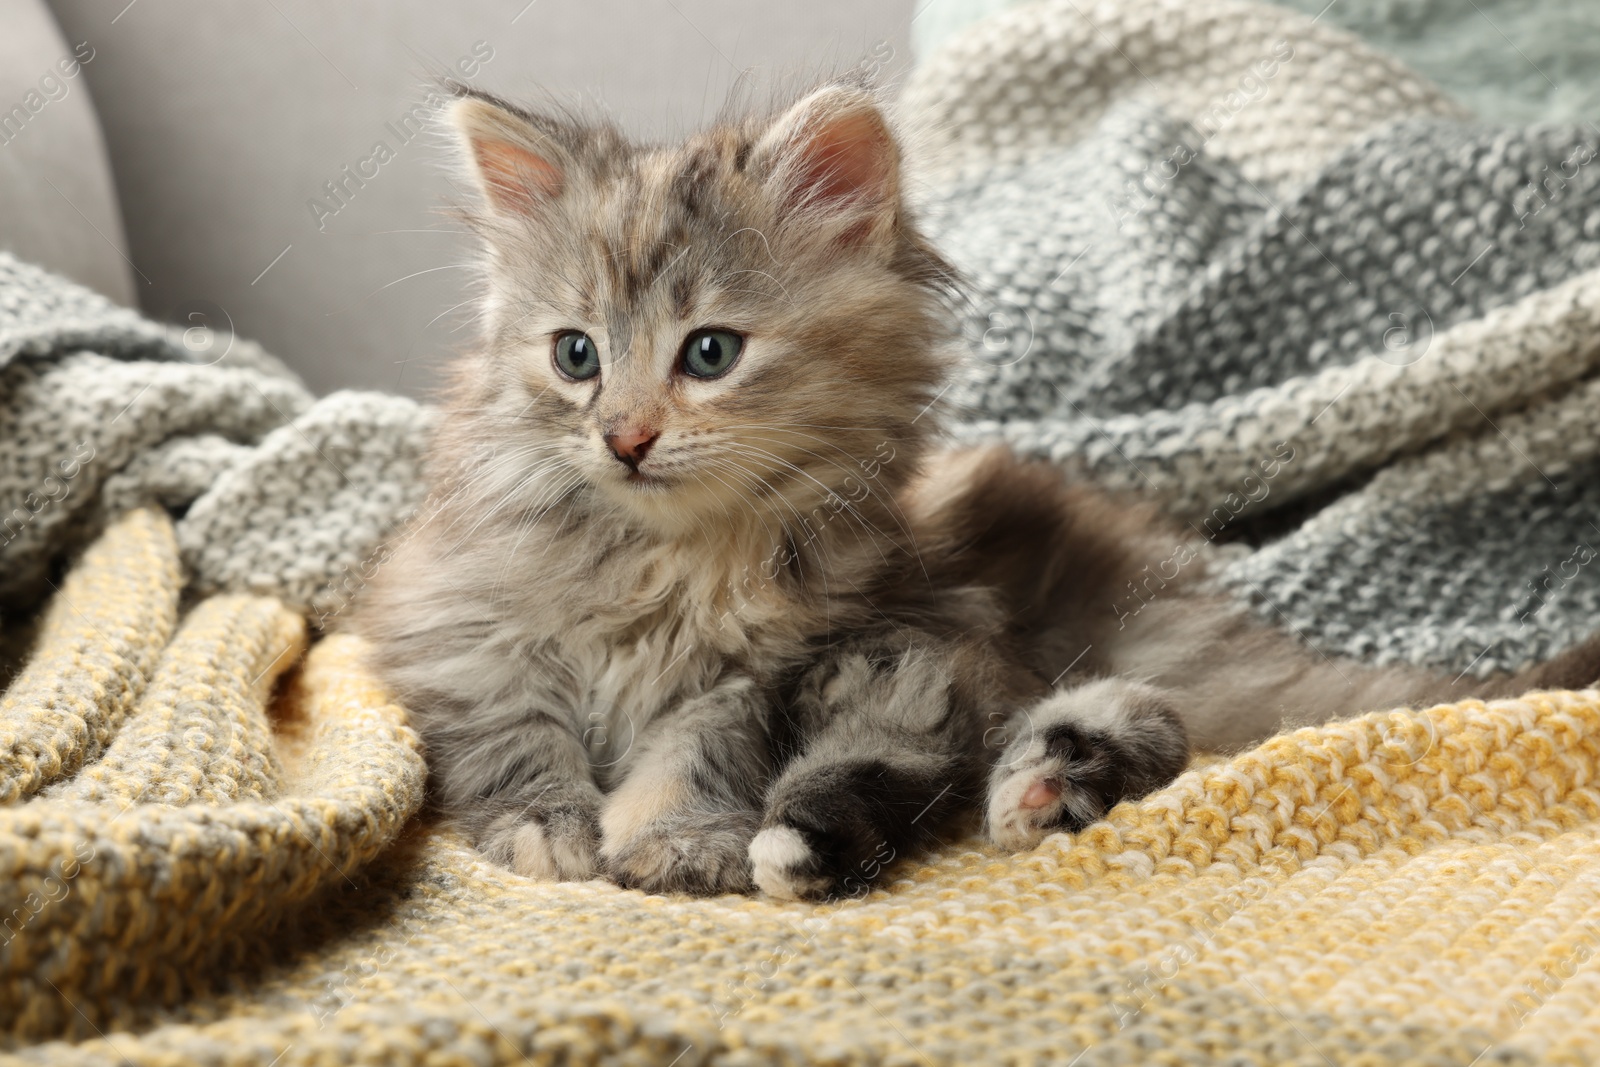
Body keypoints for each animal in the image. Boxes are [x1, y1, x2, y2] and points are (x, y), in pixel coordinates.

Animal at [353, 85, 1600, 902]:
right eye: (574, 355)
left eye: (708, 353)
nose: (623, 435)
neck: (669, 560)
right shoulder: (461, 624)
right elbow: (514, 729)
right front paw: (542, 827)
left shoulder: (762, 672)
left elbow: (686, 760)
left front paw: (674, 842)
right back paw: (1043, 788)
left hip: (947, 656)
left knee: (1100, 726)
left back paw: (1004, 800)